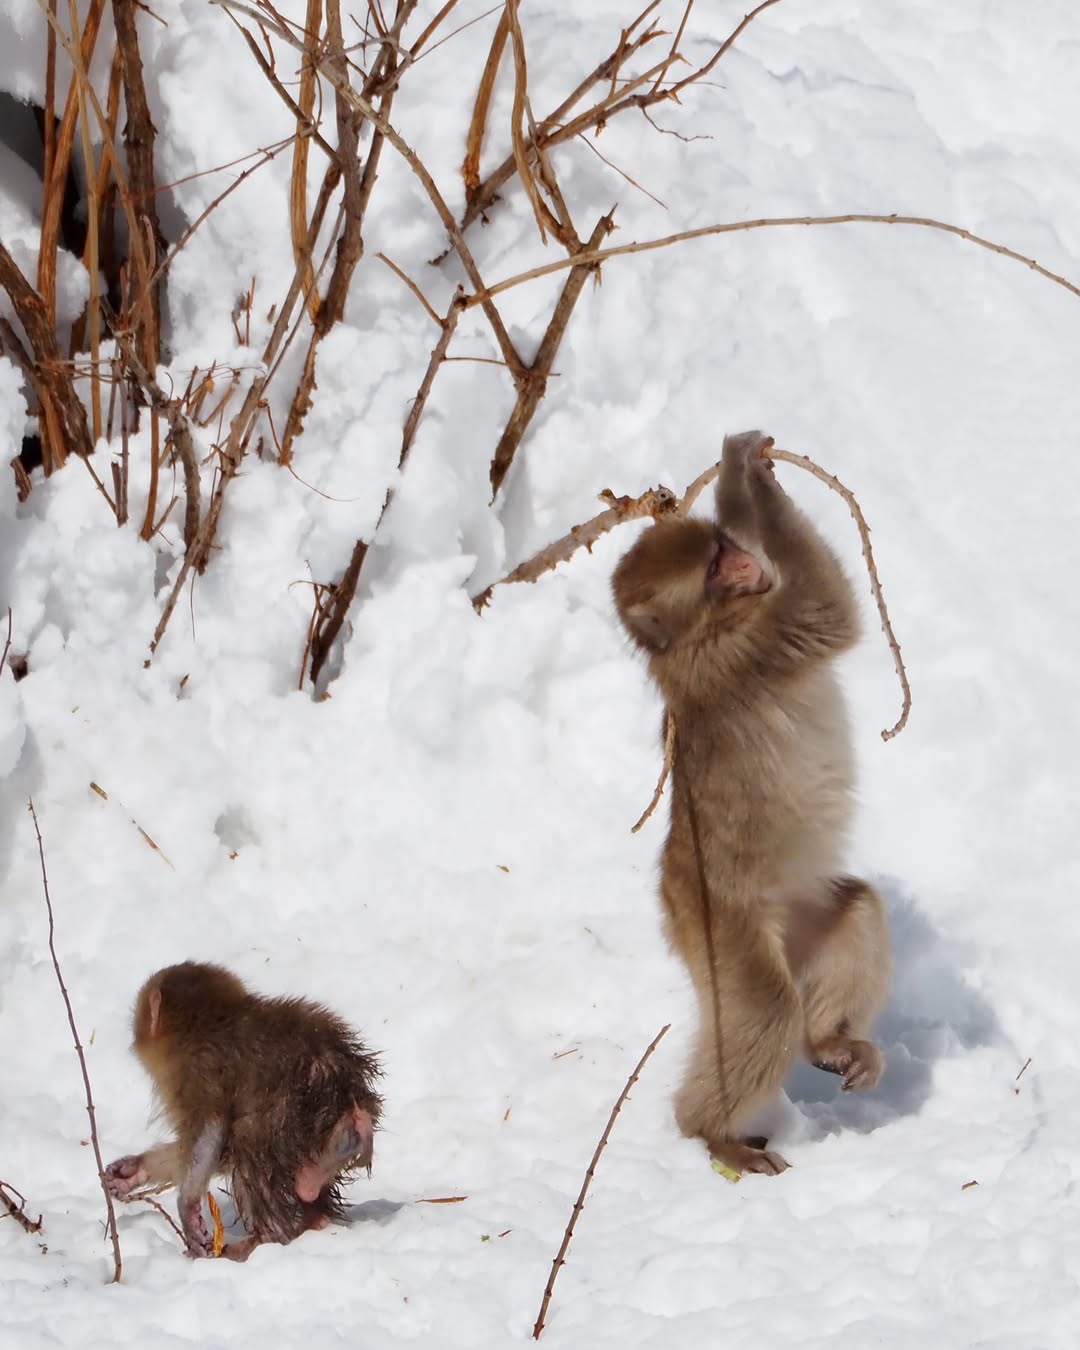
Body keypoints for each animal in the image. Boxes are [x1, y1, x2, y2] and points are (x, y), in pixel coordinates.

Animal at [104, 961, 384, 1261]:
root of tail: (349, 1097)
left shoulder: (196, 1071)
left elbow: (211, 1130)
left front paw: (188, 1207)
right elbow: (218, 1150)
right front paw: (133, 1170)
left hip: (296, 1119)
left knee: (249, 1141)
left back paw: (266, 1237)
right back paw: (317, 1213)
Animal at [611, 430, 890, 1176]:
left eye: (721, 547)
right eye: (713, 570)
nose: (746, 561)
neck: (701, 634)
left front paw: (743, 481)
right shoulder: (758, 646)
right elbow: (826, 607)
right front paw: (743, 471)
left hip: (794, 922)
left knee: (859, 907)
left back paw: (830, 1042)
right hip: (718, 928)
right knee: (765, 1010)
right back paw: (709, 1131)